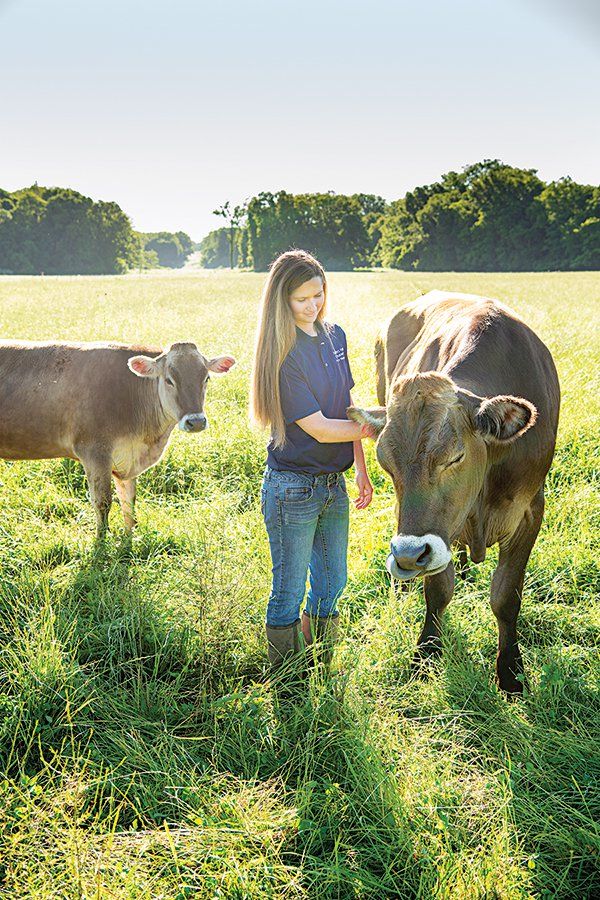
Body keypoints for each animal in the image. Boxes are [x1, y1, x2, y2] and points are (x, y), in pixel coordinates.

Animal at [0, 341, 235, 535]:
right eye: (169, 380)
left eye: (206, 378)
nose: (196, 421)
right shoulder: (94, 453)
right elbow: (103, 502)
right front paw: (101, 544)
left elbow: (128, 501)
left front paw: (129, 537)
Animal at [348, 291, 560, 695]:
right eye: (385, 462)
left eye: (455, 456)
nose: (407, 556)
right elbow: (438, 591)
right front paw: (426, 653)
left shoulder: (530, 510)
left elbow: (506, 596)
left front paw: (511, 673)